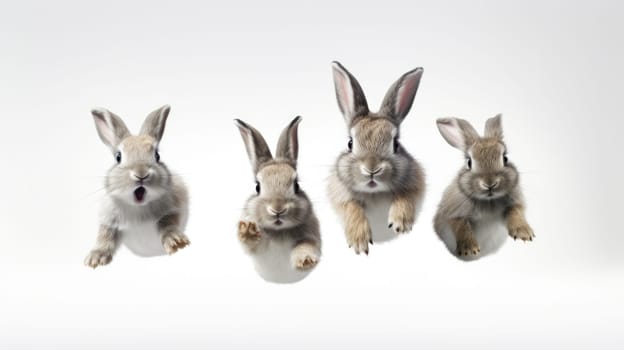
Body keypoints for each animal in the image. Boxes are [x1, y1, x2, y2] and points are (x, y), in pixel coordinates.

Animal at [84, 104, 189, 268]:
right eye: (118, 157)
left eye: (157, 156)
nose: (141, 174)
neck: (138, 208)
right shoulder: (108, 220)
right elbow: (104, 235)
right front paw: (95, 259)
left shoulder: (172, 210)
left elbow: (167, 224)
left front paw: (176, 242)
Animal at [234, 116, 322, 284]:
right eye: (257, 187)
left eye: (296, 185)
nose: (278, 209)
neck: (279, 231)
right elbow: (253, 244)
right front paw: (248, 230)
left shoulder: (310, 236)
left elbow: (306, 246)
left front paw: (305, 260)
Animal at [326, 61, 424, 254]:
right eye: (350, 143)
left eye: (395, 144)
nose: (372, 169)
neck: (375, 193)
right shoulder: (340, 194)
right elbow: (352, 206)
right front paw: (359, 241)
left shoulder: (415, 183)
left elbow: (405, 194)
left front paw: (400, 223)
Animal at [434, 115, 536, 260]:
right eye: (469, 162)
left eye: (505, 158)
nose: (490, 184)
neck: (489, 201)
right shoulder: (453, 212)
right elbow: (461, 227)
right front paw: (469, 249)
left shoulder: (514, 204)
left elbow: (516, 212)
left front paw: (524, 233)